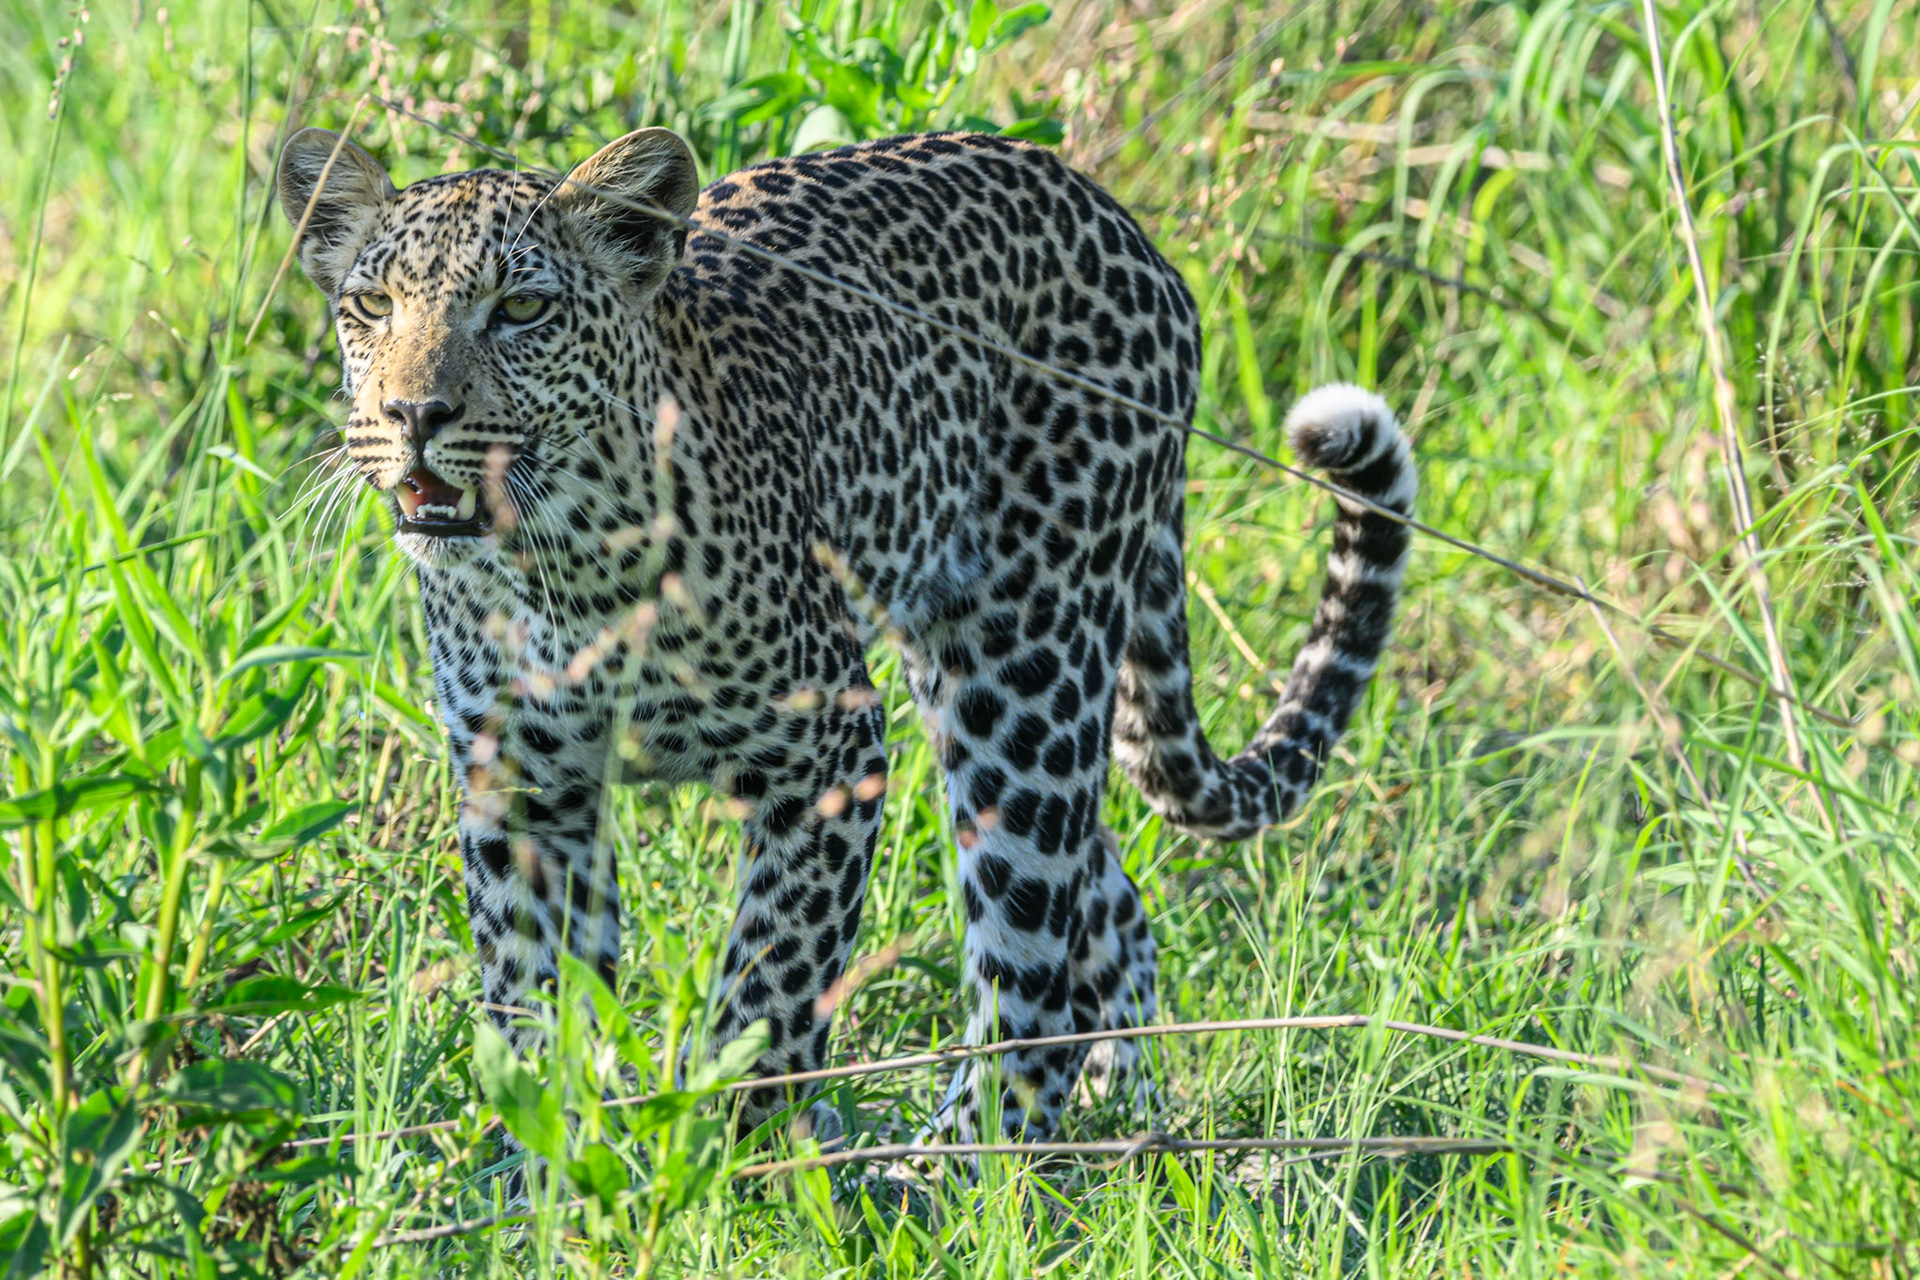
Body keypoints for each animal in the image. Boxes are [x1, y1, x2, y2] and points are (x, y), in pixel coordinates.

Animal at [275, 124, 1417, 1145]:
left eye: (520, 309)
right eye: (372, 306)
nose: (412, 414)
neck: (558, 565)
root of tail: (1119, 219)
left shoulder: (827, 750)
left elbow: (770, 987)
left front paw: (725, 1169)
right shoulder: (522, 782)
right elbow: (535, 1006)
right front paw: (545, 1187)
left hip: (1025, 669)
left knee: (1031, 956)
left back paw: (951, 1173)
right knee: (1108, 903)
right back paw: (1116, 1111)